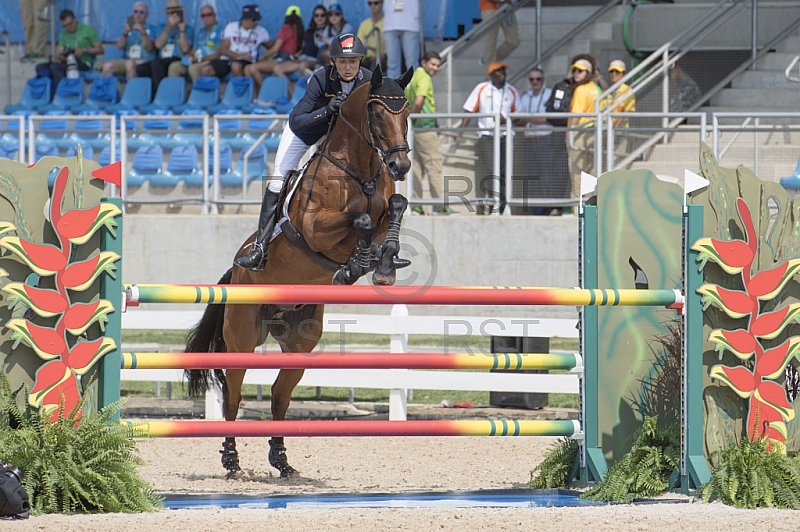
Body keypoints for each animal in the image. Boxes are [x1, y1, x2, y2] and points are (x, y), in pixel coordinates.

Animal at [185, 65, 416, 478]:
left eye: (406, 113)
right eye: (376, 114)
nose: (400, 166)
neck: (358, 169)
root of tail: (235, 270)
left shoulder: (385, 206)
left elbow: (396, 205)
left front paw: (385, 263)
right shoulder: (315, 228)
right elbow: (357, 219)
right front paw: (355, 265)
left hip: (299, 343)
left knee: (280, 395)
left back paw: (282, 460)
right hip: (243, 337)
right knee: (233, 394)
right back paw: (232, 460)